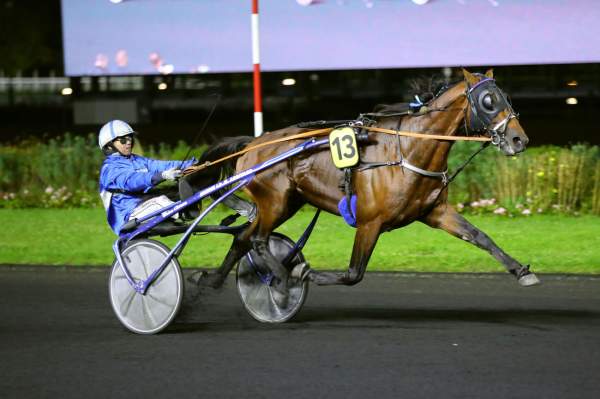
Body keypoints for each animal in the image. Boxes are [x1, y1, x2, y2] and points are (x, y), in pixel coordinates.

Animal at [191, 69, 540, 306]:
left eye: (507, 97)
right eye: (488, 101)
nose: (519, 139)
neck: (406, 151)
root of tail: (254, 143)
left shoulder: (435, 211)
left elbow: (480, 236)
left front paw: (522, 271)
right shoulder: (370, 222)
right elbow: (353, 273)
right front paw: (304, 273)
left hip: (285, 204)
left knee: (243, 239)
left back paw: (212, 280)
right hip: (275, 201)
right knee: (258, 240)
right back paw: (282, 277)